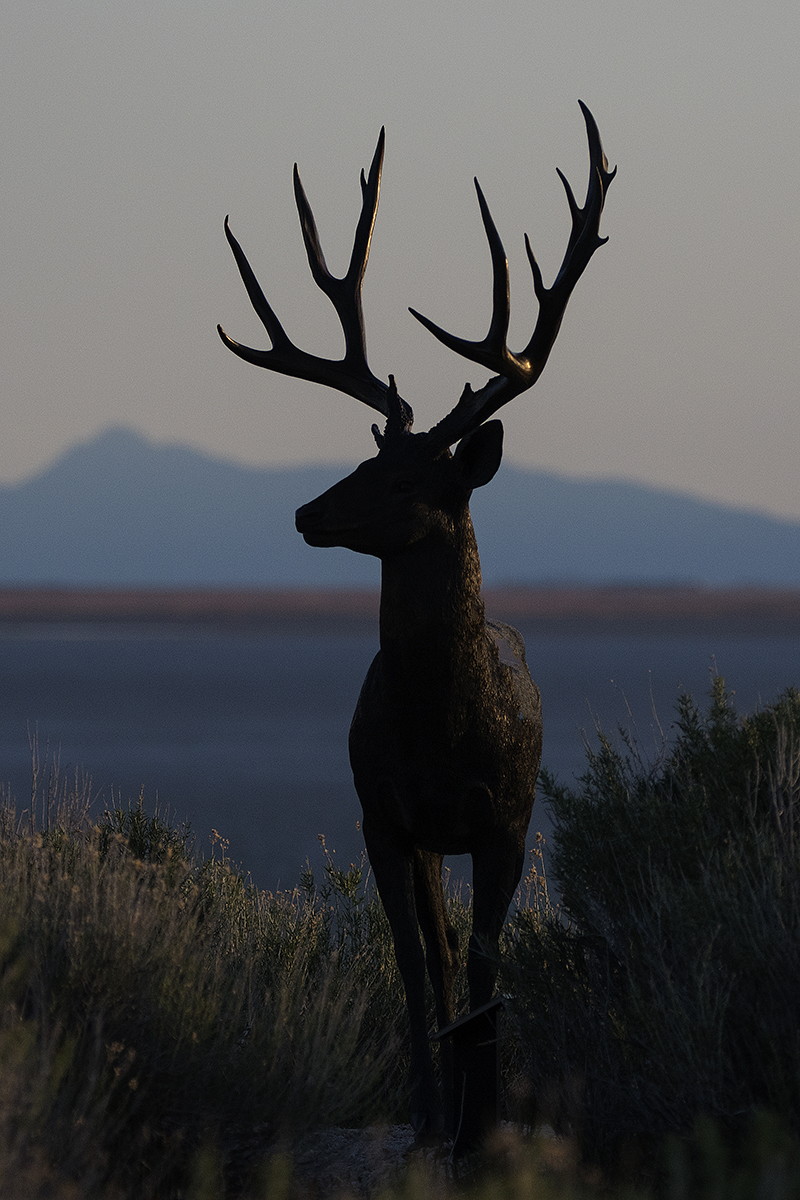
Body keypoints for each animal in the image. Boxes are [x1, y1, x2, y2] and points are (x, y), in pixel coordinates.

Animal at [218, 103, 614, 1140]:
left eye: (407, 480)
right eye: (367, 459)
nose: (308, 512)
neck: (442, 724)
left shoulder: (506, 818)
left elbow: (483, 967)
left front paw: (483, 1116)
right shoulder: (385, 815)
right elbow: (412, 965)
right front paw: (435, 1118)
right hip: (424, 836)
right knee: (430, 956)